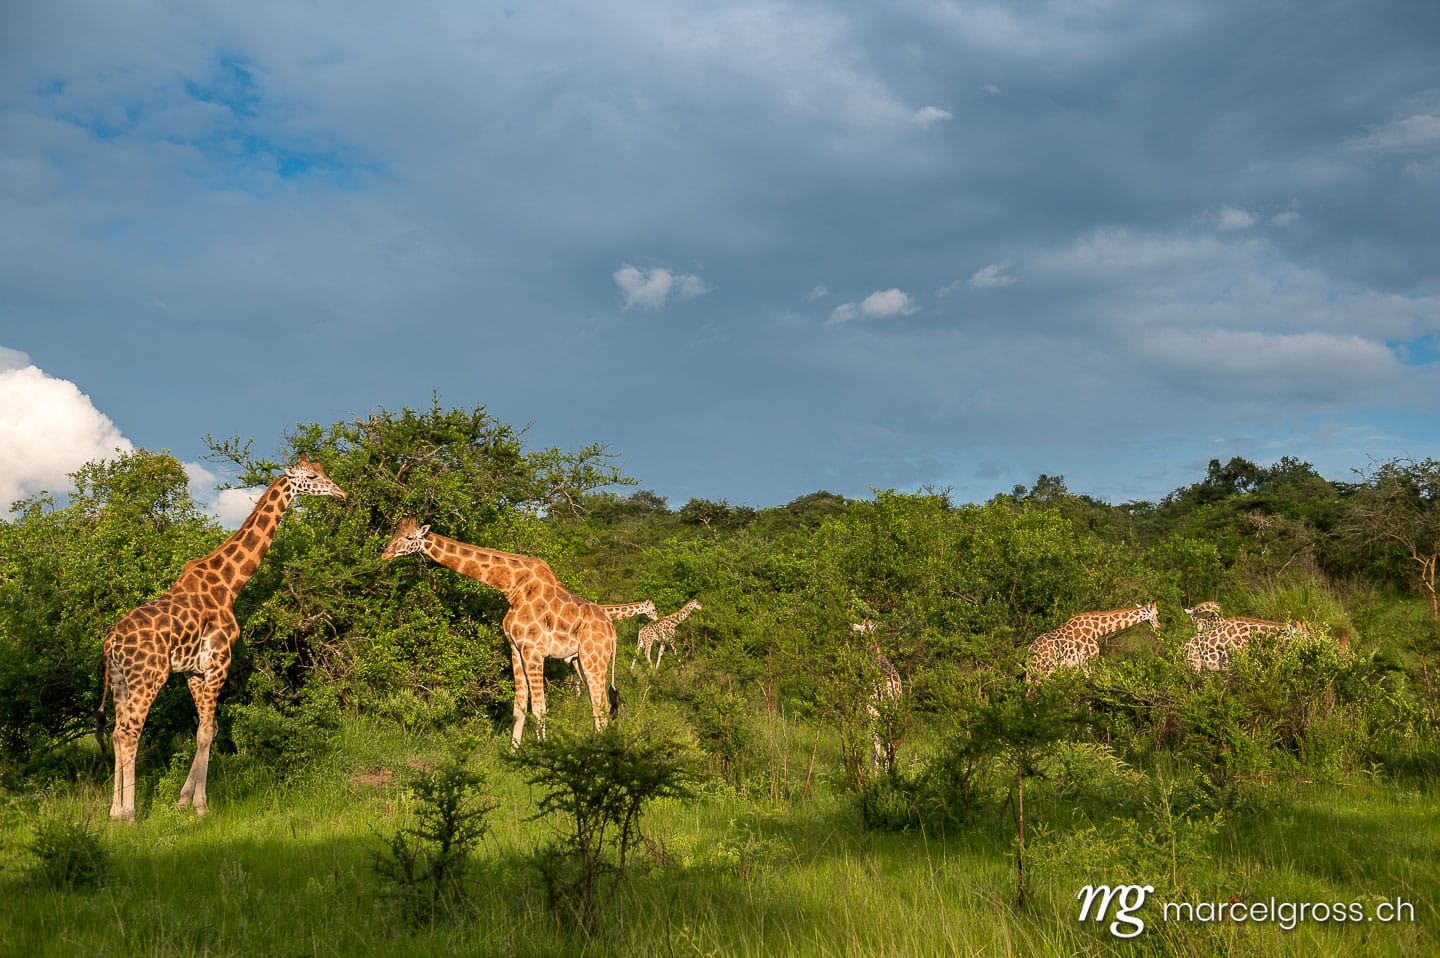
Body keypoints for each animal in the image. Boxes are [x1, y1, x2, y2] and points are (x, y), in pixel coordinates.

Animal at [98, 455, 346, 820]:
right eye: (313, 477)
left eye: (323, 471)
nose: (341, 493)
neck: (229, 585)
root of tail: (111, 642)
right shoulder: (219, 662)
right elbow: (205, 730)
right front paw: (201, 805)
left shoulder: (193, 671)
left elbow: (207, 728)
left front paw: (183, 799)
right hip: (148, 677)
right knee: (129, 732)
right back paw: (128, 814)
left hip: (120, 681)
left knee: (117, 734)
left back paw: (114, 811)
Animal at [381, 517, 619, 746]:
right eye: (394, 532)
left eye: (409, 537)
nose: (385, 554)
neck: (512, 588)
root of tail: (612, 631)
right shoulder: (515, 649)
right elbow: (519, 708)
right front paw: (514, 750)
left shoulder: (533, 651)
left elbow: (539, 708)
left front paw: (541, 749)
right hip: (580, 661)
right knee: (598, 705)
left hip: (594, 659)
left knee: (601, 705)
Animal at [852, 620, 904, 772]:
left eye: (859, 631)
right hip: (891, 714)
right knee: (888, 744)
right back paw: (886, 772)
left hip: (873, 713)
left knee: (876, 743)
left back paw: (875, 773)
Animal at [1026, 603, 1160, 681]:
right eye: (1157, 613)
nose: (1158, 626)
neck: (1096, 630)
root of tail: (1031, 650)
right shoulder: (1088, 662)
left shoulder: (1077, 666)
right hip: (1046, 669)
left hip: (1032, 670)